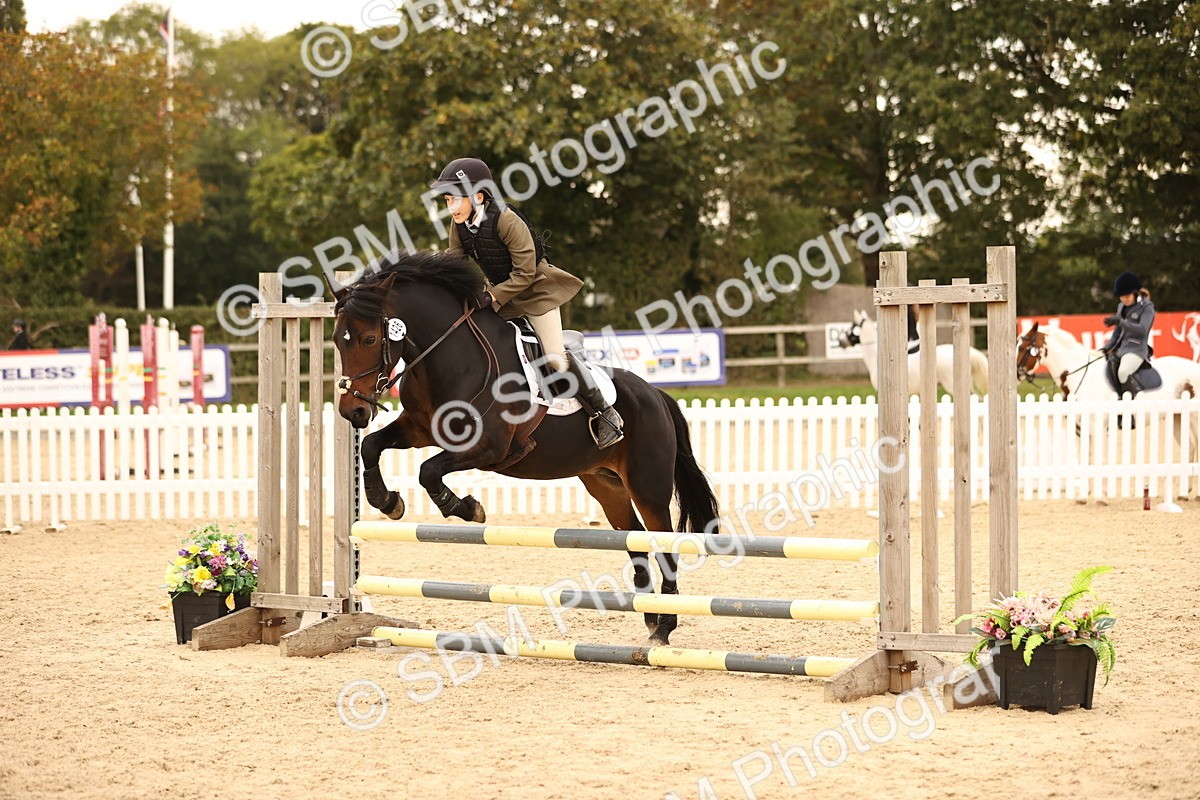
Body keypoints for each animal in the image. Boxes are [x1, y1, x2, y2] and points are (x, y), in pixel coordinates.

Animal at [327, 250, 721, 646]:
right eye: (336, 340)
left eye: (368, 338)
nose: (352, 411)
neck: (454, 357)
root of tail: (656, 394)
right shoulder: (419, 429)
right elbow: (372, 446)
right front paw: (387, 501)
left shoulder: (490, 447)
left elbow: (429, 471)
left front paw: (467, 509)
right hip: (606, 484)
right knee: (635, 538)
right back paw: (652, 618)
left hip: (647, 485)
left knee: (664, 544)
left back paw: (665, 627)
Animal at [1017, 321, 1200, 502]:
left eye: (1022, 347)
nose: (1017, 375)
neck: (1082, 377)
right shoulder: (1082, 429)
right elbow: (1086, 460)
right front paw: (1083, 496)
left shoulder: (1098, 428)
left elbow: (1101, 461)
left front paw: (1101, 497)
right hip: (1177, 417)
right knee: (1189, 447)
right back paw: (1183, 494)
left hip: (1193, 418)